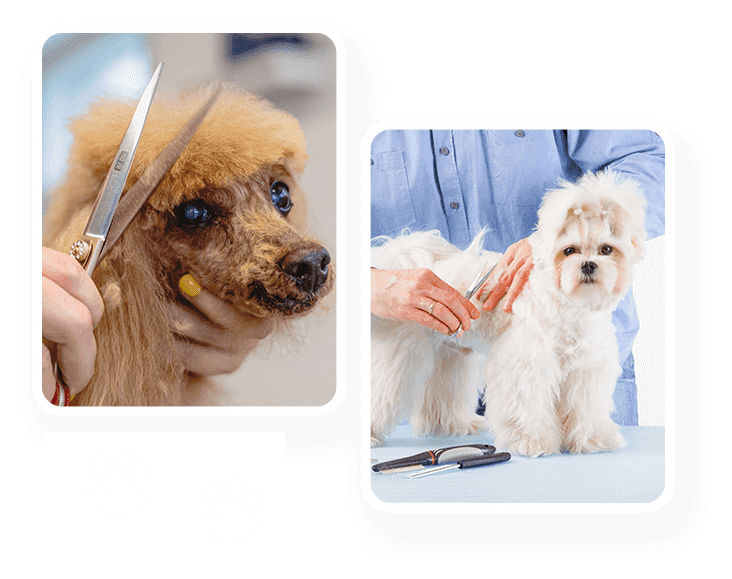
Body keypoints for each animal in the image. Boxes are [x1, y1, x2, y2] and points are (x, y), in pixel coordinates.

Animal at [372, 172, 648, 458]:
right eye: (569, 250)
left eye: (607, 250)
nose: (588, 264)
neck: (567, 307)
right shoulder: (526, 366)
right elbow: (527, 407)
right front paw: (531, 441)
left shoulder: (585, 371)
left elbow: (585, 409)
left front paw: (592, 439)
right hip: (400, 357)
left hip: (447, 356)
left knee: (440, 396)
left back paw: (454, 425)